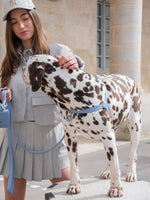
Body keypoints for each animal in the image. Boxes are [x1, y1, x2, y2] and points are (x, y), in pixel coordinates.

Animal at [22, 54, 142, 198]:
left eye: (27, 64)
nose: (21, 69)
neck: (77, 92)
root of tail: (129, 78)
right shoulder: (70, 138)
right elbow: (74, 165)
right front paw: (74, 185)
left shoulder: (107, 135)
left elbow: (116, 166)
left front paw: (116, 188)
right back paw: (107, 171)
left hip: (134, 127)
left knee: (132, 154)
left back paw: (131, 173)